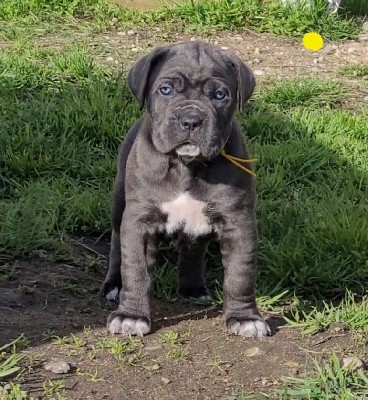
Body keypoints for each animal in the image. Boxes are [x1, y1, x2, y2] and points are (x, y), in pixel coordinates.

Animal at [100, 41, 270, 338]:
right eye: (166, 90)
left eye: (220, 95)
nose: (191, 120)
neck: (185, 166)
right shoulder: (139, 220)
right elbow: (136, 270)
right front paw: (131, 315)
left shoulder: (238, 222)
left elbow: (241, 273)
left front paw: (245, 318)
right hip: (119, 202)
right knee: (117, 241)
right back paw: (115, 284)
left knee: (193, 248)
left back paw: (192, 288)